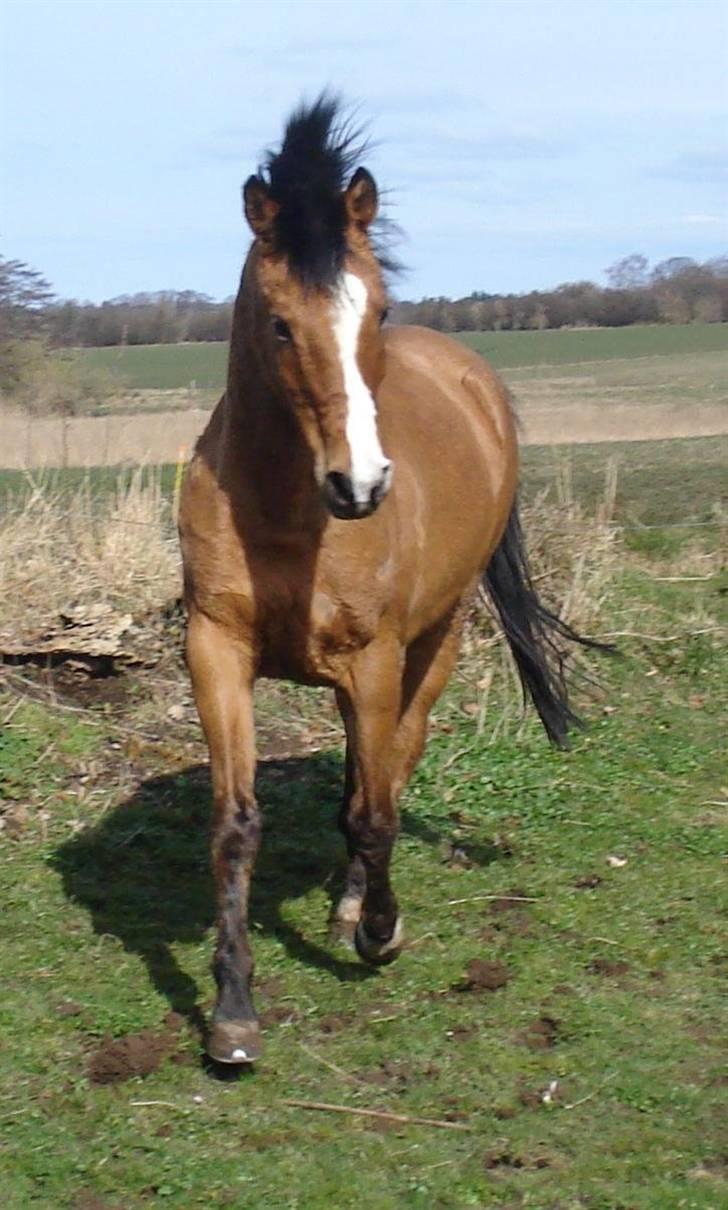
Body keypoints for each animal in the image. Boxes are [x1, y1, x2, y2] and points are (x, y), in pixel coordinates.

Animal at [180, 91, 594, 1059]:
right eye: (280, 323)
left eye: (376, 312)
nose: (361, 485)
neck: (286, 514)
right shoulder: (216, 651)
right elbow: (236, 825)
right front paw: (233, 1009)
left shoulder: (374, 658)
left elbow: (376, 807)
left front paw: (379, 930)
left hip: (432, 643)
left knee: (394, 767)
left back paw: (360, 908)